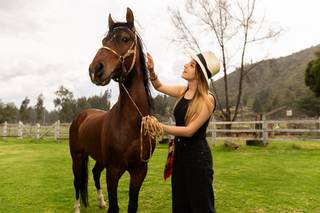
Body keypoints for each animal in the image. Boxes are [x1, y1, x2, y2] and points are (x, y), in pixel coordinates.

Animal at [69, 7, 154, 213]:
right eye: (104, 41)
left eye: (125, 38)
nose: (95, 69)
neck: (131, 123)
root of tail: (81, 116)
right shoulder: (113, 170)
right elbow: (114, 207)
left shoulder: (139, 171)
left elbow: (132, 205)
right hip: (77, 157)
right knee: (77, 181)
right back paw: (77, 207)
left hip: (99, 159)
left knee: (93, 172)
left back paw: (100, 201)